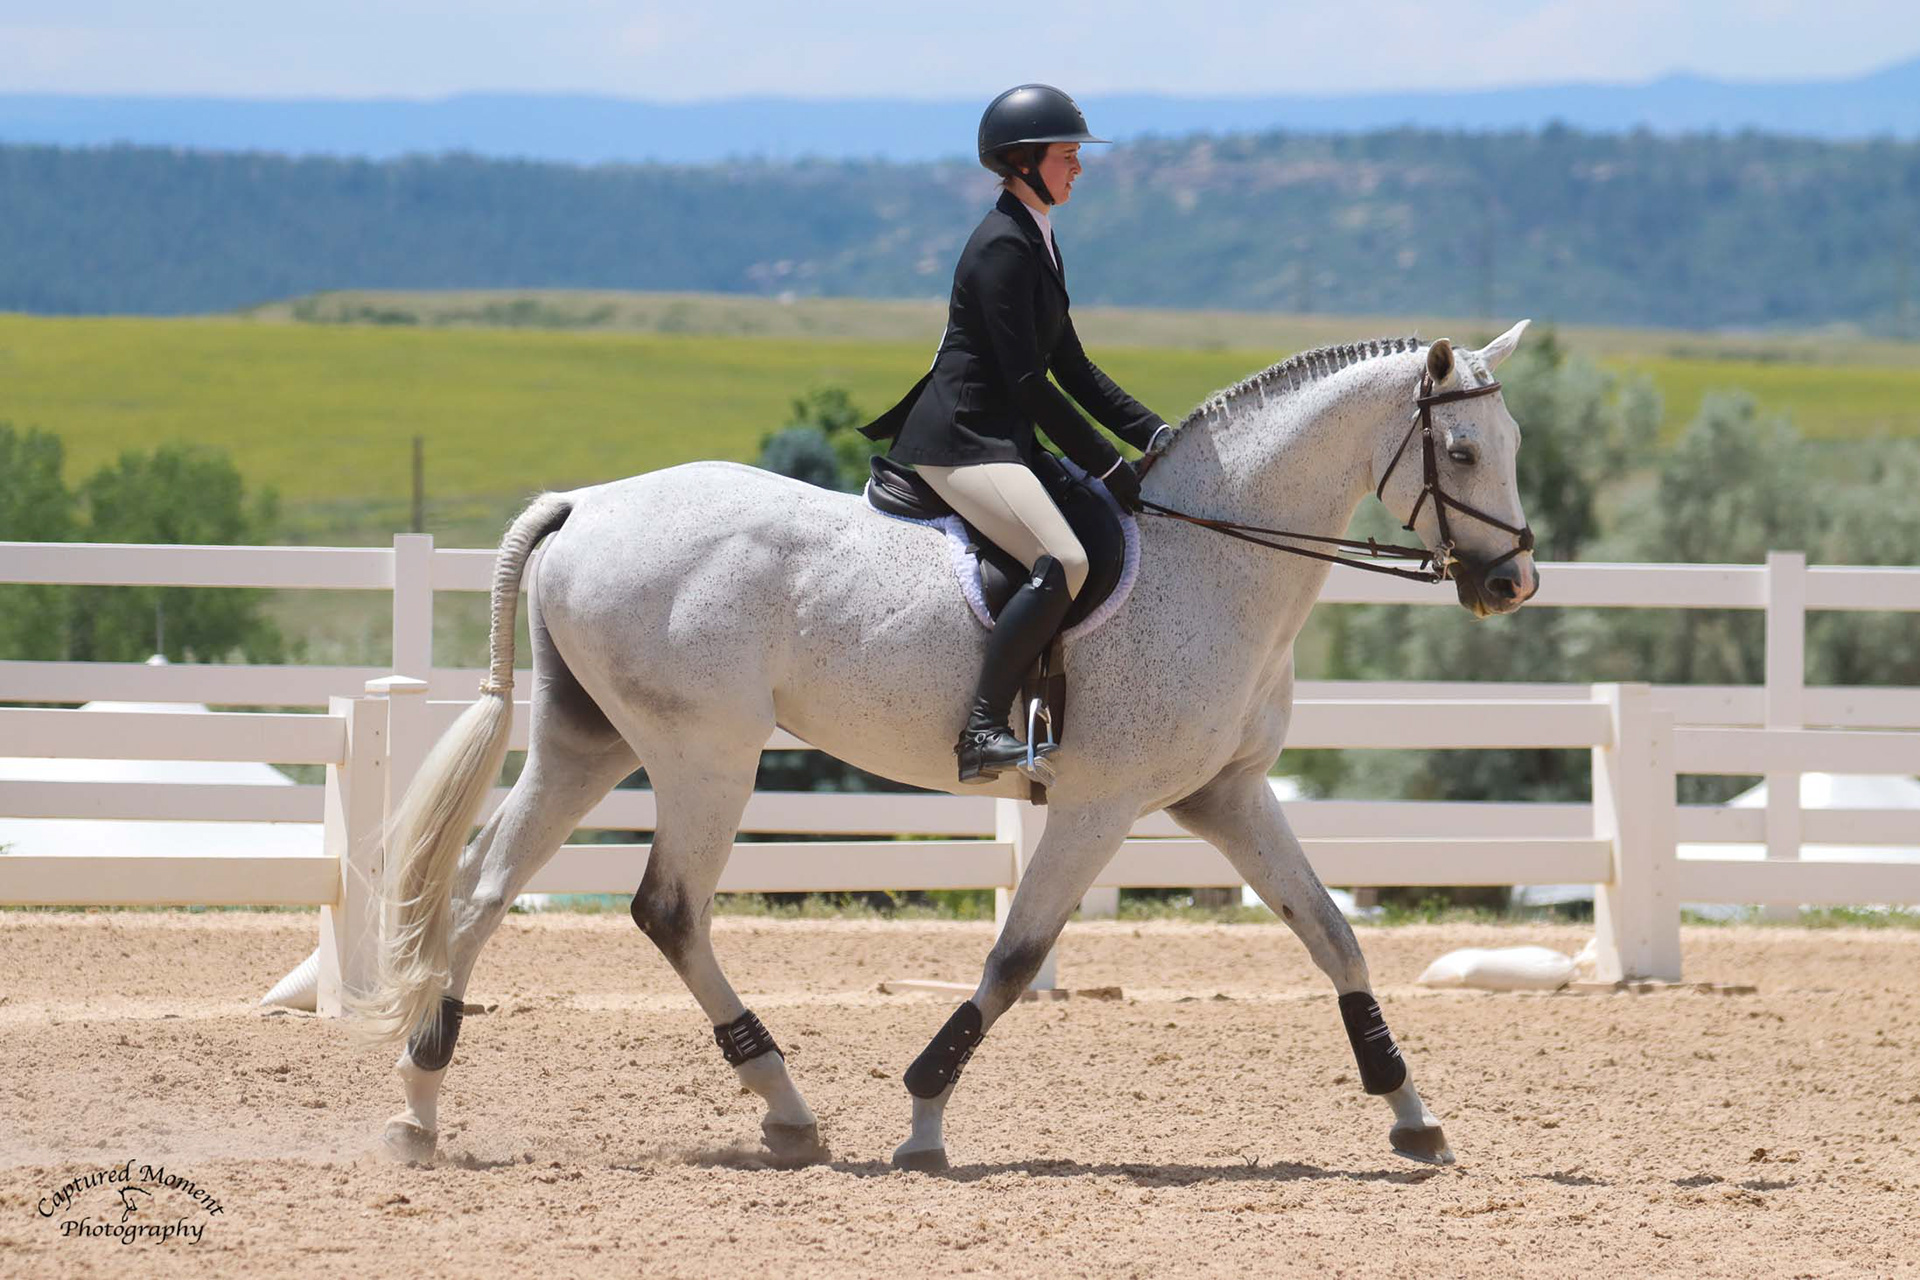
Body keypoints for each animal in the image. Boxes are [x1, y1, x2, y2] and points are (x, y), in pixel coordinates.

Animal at [353, 322, 1540, 1172]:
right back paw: (783, 1105)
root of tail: (586, 504)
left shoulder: (1227, 795)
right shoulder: (1103, 803)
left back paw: (419, 1106)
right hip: (707, 753)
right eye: (1462, 450)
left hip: (588, 740)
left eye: (1515, 447)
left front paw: (1413, 1116)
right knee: (668, 909)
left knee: (483, 885)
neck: (1216, 555)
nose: (1512, 581)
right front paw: (923, 1120)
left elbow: (1333, 935)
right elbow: (1014, 957)